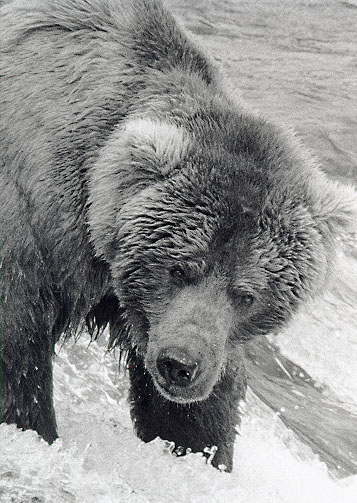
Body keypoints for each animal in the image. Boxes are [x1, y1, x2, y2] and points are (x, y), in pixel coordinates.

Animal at [0, 0, 354, 472]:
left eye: (247, 294)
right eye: (179, 269)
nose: (179, 365)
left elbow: (200, 408)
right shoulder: (32, 226)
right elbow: (18, 355)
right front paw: (34, 427)